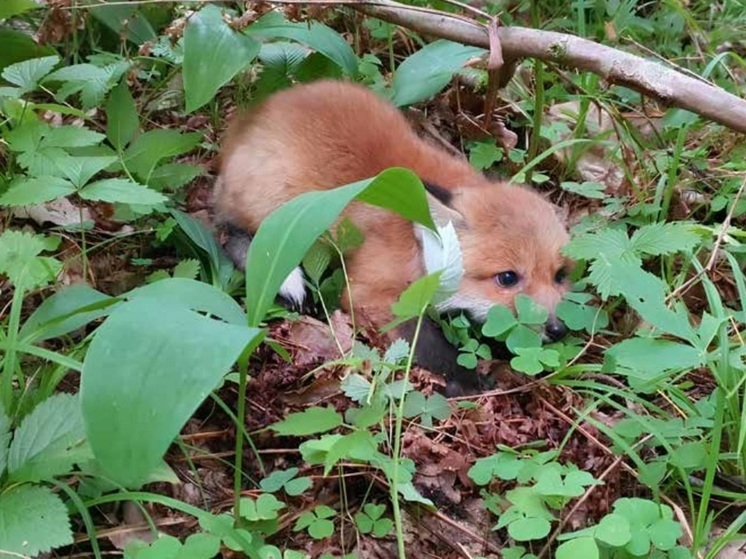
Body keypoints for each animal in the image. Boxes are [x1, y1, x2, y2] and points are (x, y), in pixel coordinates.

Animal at [214, 81, 568, 392]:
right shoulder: (369, 295)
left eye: (560, 276)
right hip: (279, 209)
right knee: (230, 234)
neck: (416, 239)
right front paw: (465, 381)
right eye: (507, 278)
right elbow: (426, 343)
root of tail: (248, 121)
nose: (558, 329)